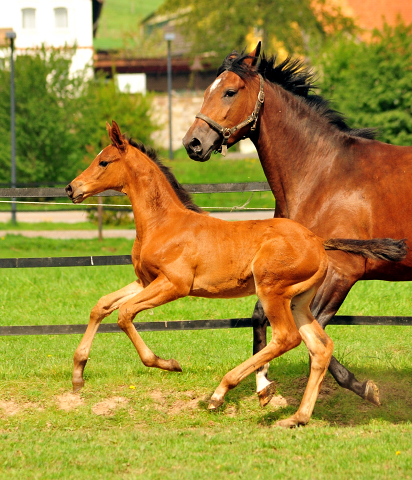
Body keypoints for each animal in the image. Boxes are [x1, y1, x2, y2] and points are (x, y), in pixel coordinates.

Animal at [67, 122, 406, 430]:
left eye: (104, 162)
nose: (72, 188)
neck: (163, 223)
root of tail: (317, 241)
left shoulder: (174, 285)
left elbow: (124, 314)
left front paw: (169, 364)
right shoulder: (146, 282)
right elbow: (101, 305)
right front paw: (78, 374)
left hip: (271, 291)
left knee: (287, 337)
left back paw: (222, 392)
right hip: (299, 300)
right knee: (319, 346)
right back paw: (297, 417)